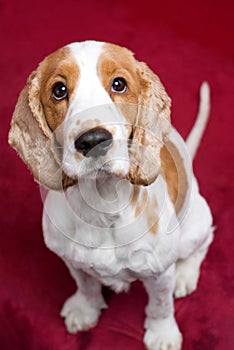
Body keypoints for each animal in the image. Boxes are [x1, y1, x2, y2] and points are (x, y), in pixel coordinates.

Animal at [8, 41, 214, 350]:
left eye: (119, 84)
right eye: (59, 90)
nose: (93, 140)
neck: (101, 205)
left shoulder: (159, 271)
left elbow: (160, 305)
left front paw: (162, 334)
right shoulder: (71, 259)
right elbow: (85, 284)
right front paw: (85, 309)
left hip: (196, 225)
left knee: (204, 242)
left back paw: (185, 274)